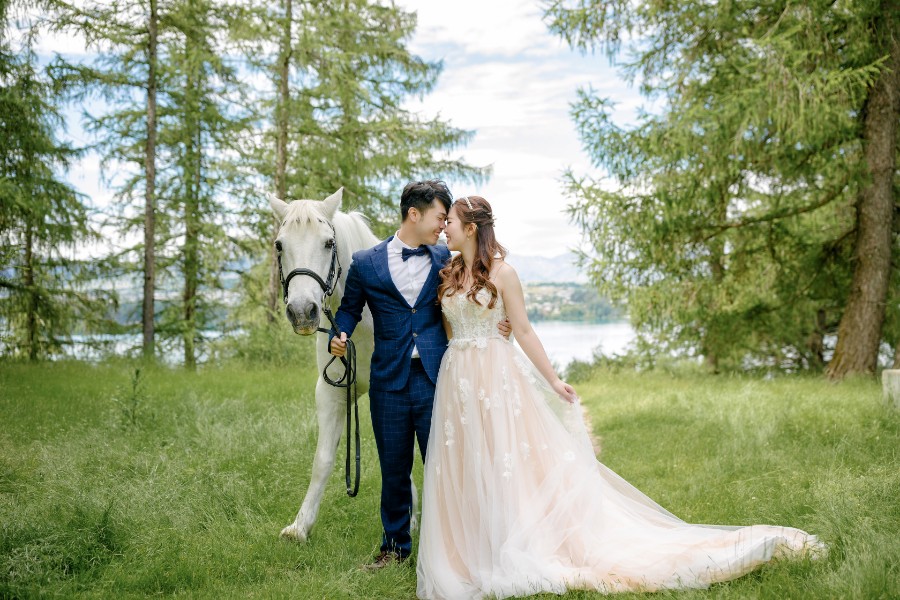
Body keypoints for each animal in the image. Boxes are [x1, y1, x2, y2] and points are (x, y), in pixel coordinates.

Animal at [268, 189, 420, 544]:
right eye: (280, 245)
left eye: (328, 243)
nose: (302, 312)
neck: (365, 322)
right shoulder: (332, 392)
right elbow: (322, 460)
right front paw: (300, 526)